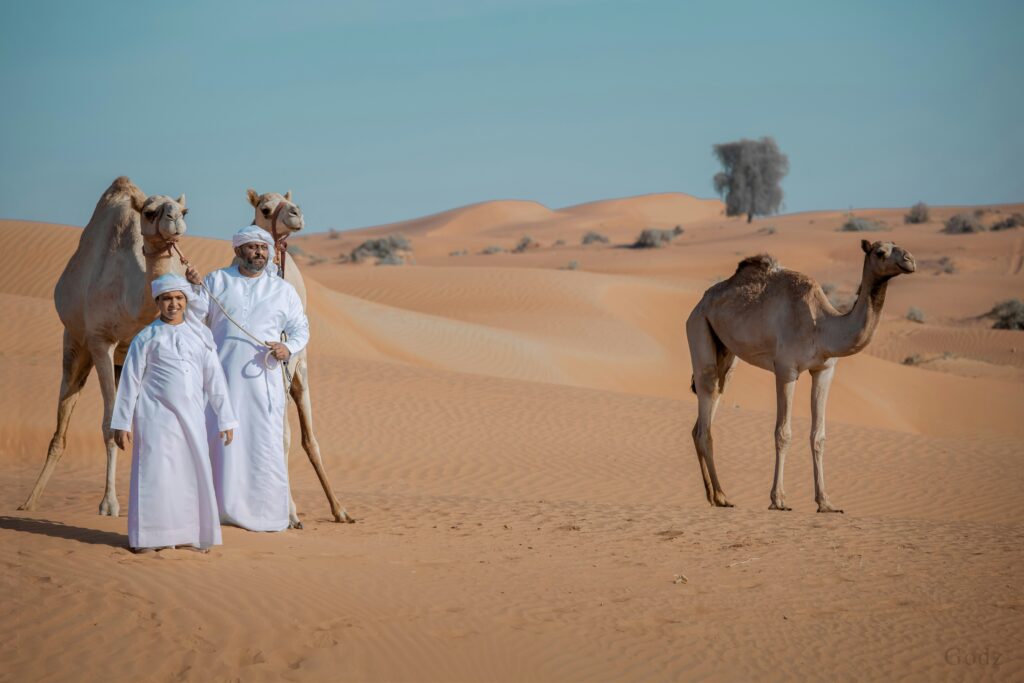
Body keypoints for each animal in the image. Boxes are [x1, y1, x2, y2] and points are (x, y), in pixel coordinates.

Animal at [19, 177, 188, 515]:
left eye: (185, 210)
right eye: (149, 212)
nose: (175, 218)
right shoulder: (100, 341)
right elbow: (110, 425)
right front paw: (109, 504)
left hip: (121, 360)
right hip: (74, 343)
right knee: (63, 419)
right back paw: (30, 502)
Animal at [244, 188, 352, 525]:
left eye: (291, 200)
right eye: (264, 209)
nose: (296, 213)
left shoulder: (296, 369)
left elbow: (306, 440)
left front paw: (339, 509)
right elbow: (282, 437)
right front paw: (289, 513)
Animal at [685, 239, 916, 512]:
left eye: (899, 246)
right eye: (880, 252)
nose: (910, 260)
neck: (822, 326)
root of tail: (699, 304)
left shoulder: (824, 370)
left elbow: (819, 436)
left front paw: (825, 502)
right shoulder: (786, 369)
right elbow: (783, 433)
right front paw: (778, 499)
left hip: (727, 353)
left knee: (711, 402)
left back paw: (714, 496)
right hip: (698, 326)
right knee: (706, 402)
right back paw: (722, 496)